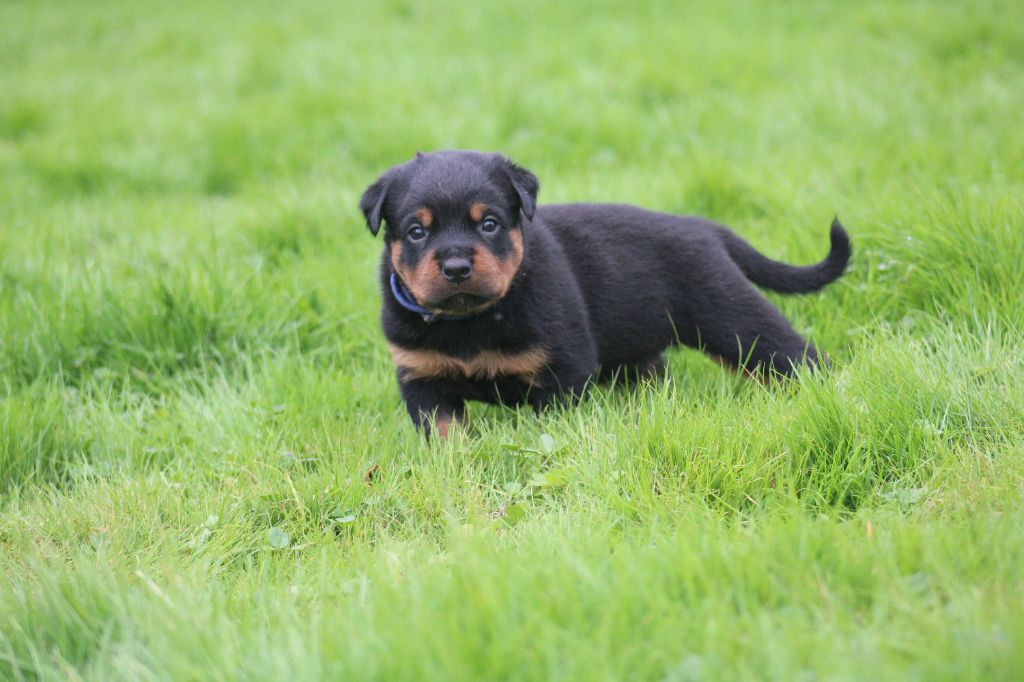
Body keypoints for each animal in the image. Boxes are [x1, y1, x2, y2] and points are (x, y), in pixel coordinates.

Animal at [360, 149, 847, 436]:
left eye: (490, 224)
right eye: (417, 231)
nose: (457, 267)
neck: (470, 321)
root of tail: (707, 228)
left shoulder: (564, 370)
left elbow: (553, 428)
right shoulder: (422, 380)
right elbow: (444, 435)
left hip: (735, 321)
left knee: (796, 358)